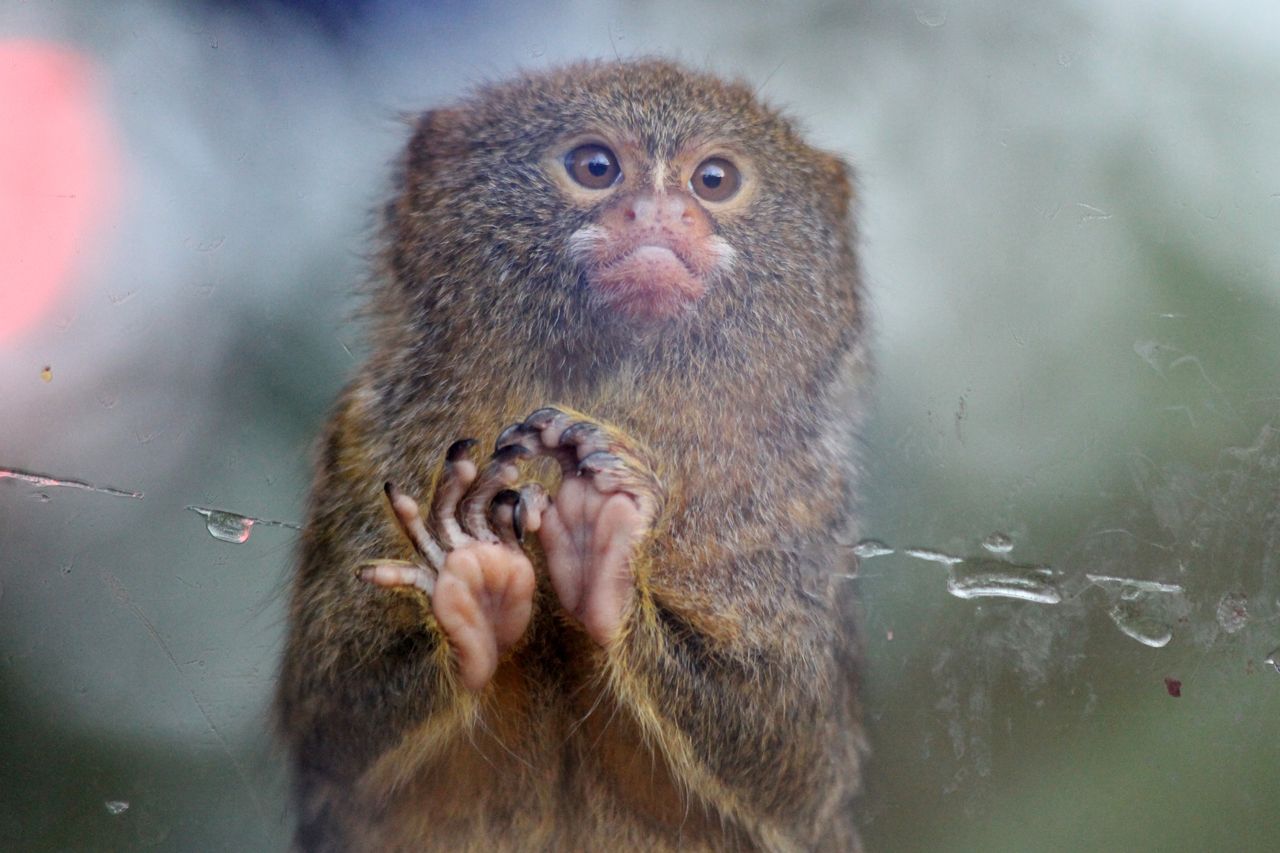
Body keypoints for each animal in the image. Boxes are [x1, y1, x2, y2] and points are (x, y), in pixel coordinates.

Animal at [273, 58, 865, 845]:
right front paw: (474, 581)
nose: (659, 214)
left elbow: (798, 760)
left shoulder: (805, 493)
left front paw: (606, 546)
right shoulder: (363, 438)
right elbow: (329, 723)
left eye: (714, 179)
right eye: (594, 166)